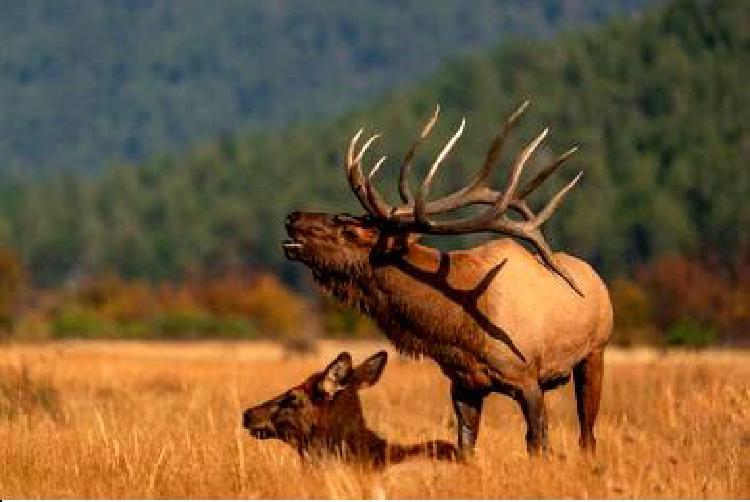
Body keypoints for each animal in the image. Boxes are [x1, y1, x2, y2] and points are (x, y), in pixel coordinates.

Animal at [280, 101, 612, 454]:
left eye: (350, 231)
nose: (292, 217)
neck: (457, 330)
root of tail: (599, 281)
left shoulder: (526, 378)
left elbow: (539, 443)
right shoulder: (463, 384)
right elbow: (464, 446)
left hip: (596, 351)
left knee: (587, 433)